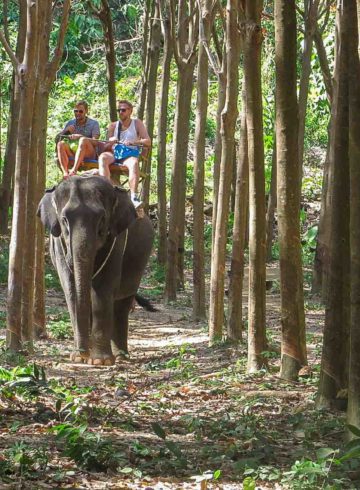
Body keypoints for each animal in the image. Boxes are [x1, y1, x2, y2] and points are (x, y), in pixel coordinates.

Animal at [37, 175, 154, 364]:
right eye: (64, 220)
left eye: (102, 219)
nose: (83, 353)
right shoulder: (57, 245)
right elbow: (71, 289)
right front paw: (79, 357)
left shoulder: (116, 240)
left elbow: (102, 288)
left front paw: (100, 361)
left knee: (121, 305)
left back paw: (121, 357)